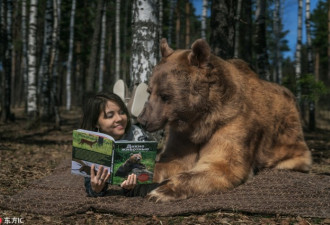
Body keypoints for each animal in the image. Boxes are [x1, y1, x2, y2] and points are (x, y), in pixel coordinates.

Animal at [137, 38, 312, 202]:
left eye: (165, 95)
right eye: (150, 91)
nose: (142, 120)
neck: (199, 119)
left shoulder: (232, 121)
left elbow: (221, 165)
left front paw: (161, 191)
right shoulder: (183, 134)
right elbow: (173, 160)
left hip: (290, 140)